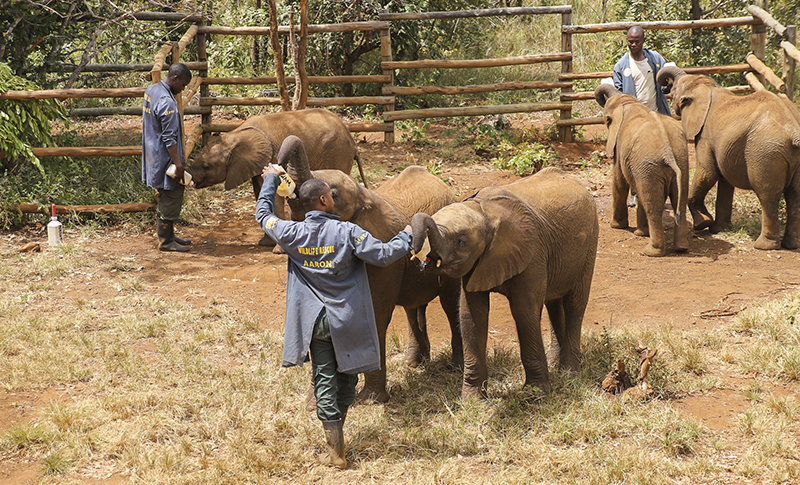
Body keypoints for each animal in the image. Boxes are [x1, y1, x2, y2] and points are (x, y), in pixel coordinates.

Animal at [188, 110, 366, 246]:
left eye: (206, 166)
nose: (190, 178)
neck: (236, 135)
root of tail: (352, 140)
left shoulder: (269, 156)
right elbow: (260, 191)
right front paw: (265, 243)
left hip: (337, 152)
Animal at [278, 134, 462, 402]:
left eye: (332, 194)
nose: (278, 167)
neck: (364, 194)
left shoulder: (382, 256)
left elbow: (374, 315)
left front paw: (372, 400)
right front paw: (316, 402)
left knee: (450, 302)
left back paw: (455, 367)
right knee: (412, 307)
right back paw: (413, 363)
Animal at [410, 166, 596, 398]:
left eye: (461, 241)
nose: (421, 259)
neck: (483, 211)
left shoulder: (532, 253)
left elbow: (524, 311)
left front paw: (534, 395)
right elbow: (471, 315)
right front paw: (473, 400)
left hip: (589, 247)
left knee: (574, 303)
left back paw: (570, 372)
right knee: (553, 303)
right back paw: (556, 366)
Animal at [592, 83, 688, 258]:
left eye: (606, 120)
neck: (627, 104)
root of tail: (668, 153)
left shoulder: (620, 146)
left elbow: (619, 182)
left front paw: (616, 226)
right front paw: (639, 233)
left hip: (650, 166)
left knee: (653, 205)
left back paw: (651, 251)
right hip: (679, 162)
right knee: (679, 200)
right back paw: (681, 248)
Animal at [656, 65, 800, 250]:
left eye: (673, 92)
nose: (665, 87)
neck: (708, 88)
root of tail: (793, 130)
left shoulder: (705, 134)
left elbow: (707, 173)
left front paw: (702, 224)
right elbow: (725, 181)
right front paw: (718, 229)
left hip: (766, 152)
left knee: (768, 194)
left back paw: (763, 245)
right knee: (795, 195)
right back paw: (791, 245)